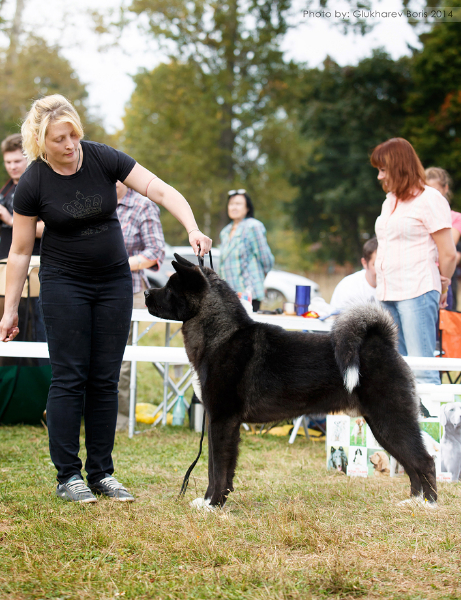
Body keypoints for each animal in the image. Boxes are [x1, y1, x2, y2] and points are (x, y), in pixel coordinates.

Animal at [144, 253, 434, 506]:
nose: (146, 294)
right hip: (381, 426)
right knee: (412, 465)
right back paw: (412, 502)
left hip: (391, 420)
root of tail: (383, 343)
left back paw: (427, 505)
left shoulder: (223, 421)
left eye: (170, 288)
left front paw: (213, 504)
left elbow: (219, 469)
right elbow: (214, 468)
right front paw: (206, 502)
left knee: (424, 461)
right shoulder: (217, 421)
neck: (221, 335)